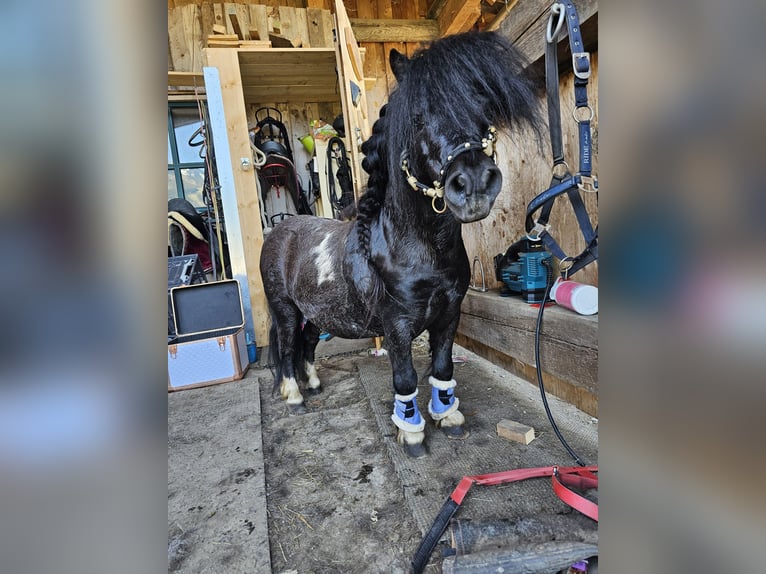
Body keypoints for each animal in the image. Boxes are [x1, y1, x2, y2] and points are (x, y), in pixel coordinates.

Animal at [260, 31, 542, 457]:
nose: (474, 184)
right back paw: (294, 396)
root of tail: (280, 230)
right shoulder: (396, 325)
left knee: (307, 344)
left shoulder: (449, 314)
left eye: (482, 108)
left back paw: (314, 386)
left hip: (315, 312)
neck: (418, 249)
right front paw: (411, 432)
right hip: (286, 310)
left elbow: (442, 368)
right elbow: (406, 378)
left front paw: (448, 417)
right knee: (289, 347)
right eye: (418, 118)